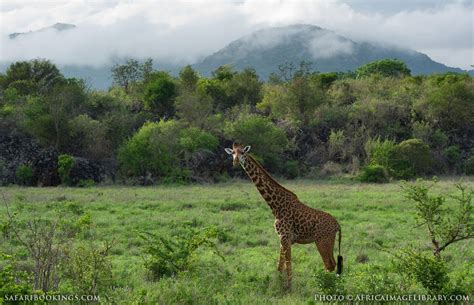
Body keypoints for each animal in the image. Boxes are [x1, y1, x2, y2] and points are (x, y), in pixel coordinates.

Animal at [225, 144, 340, 286]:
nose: (235, 162)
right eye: (232, 153)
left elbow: (288, 265)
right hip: (327, 242)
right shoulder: (282, 238)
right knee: (332, 264)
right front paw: (279, 285)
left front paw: (288, 287)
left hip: (322, 241)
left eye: (242, 152)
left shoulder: (285, 237)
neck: (275, 206)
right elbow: (280, 266)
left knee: (329, 265)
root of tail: (337, 225)